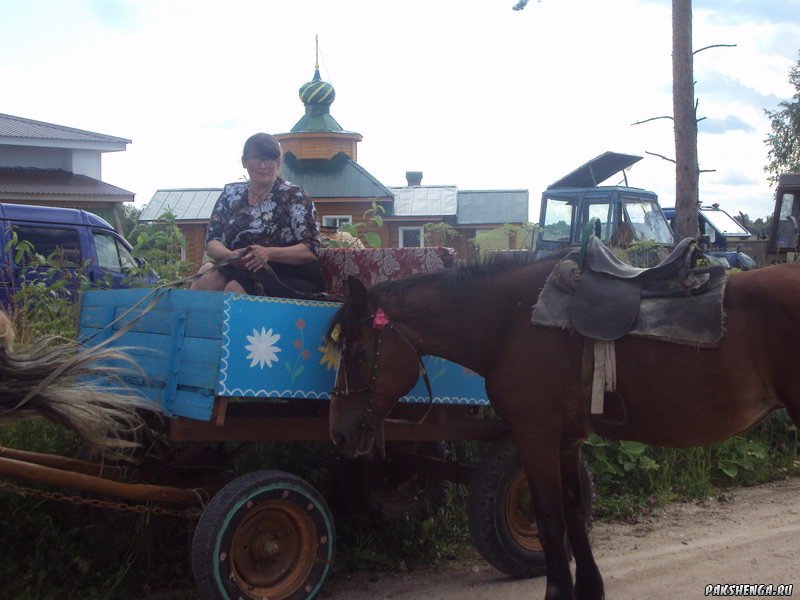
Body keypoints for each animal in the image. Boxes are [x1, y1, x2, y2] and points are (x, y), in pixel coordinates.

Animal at [324, 253, 800, 600]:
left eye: (359, 354)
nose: (339, 433)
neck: (512, 320)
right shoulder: (568, 439)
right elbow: (573, 514)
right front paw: (589, 588)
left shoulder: (534, 433)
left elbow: (549, 519)